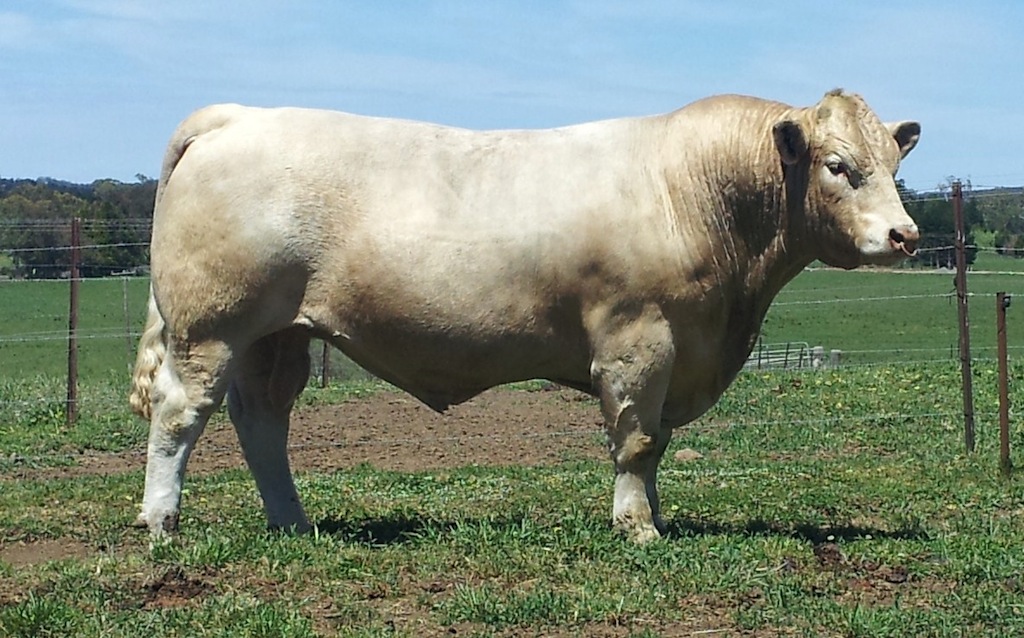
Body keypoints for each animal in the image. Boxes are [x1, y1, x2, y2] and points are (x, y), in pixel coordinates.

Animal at [128, 87, 921, 540]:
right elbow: (637, 441)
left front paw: (656, 514)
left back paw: (292, 523)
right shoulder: (639, 340)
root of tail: (237, 117)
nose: (904, 235)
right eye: (839, 166)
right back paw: (162, 522)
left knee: (262, 421)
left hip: (278, 334)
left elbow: (656, 443)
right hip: (211, 327)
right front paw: (637, 528)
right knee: (180, 415)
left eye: (894, 164)